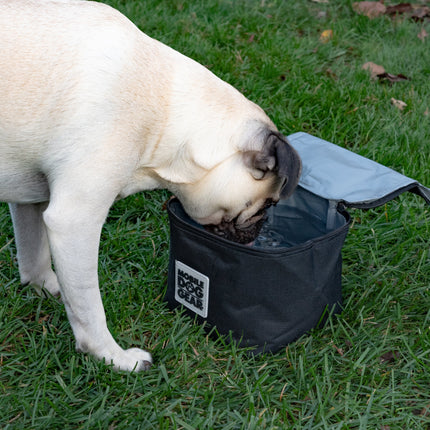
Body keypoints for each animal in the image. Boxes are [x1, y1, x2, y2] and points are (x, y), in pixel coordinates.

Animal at [0, 0, 302, 370]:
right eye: (266, 205)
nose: (261, 229)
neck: (168, 114)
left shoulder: (31, 201)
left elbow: (35, 255)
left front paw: (45, 288)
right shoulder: (75, 221)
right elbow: (90, 307)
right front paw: (112, 358)